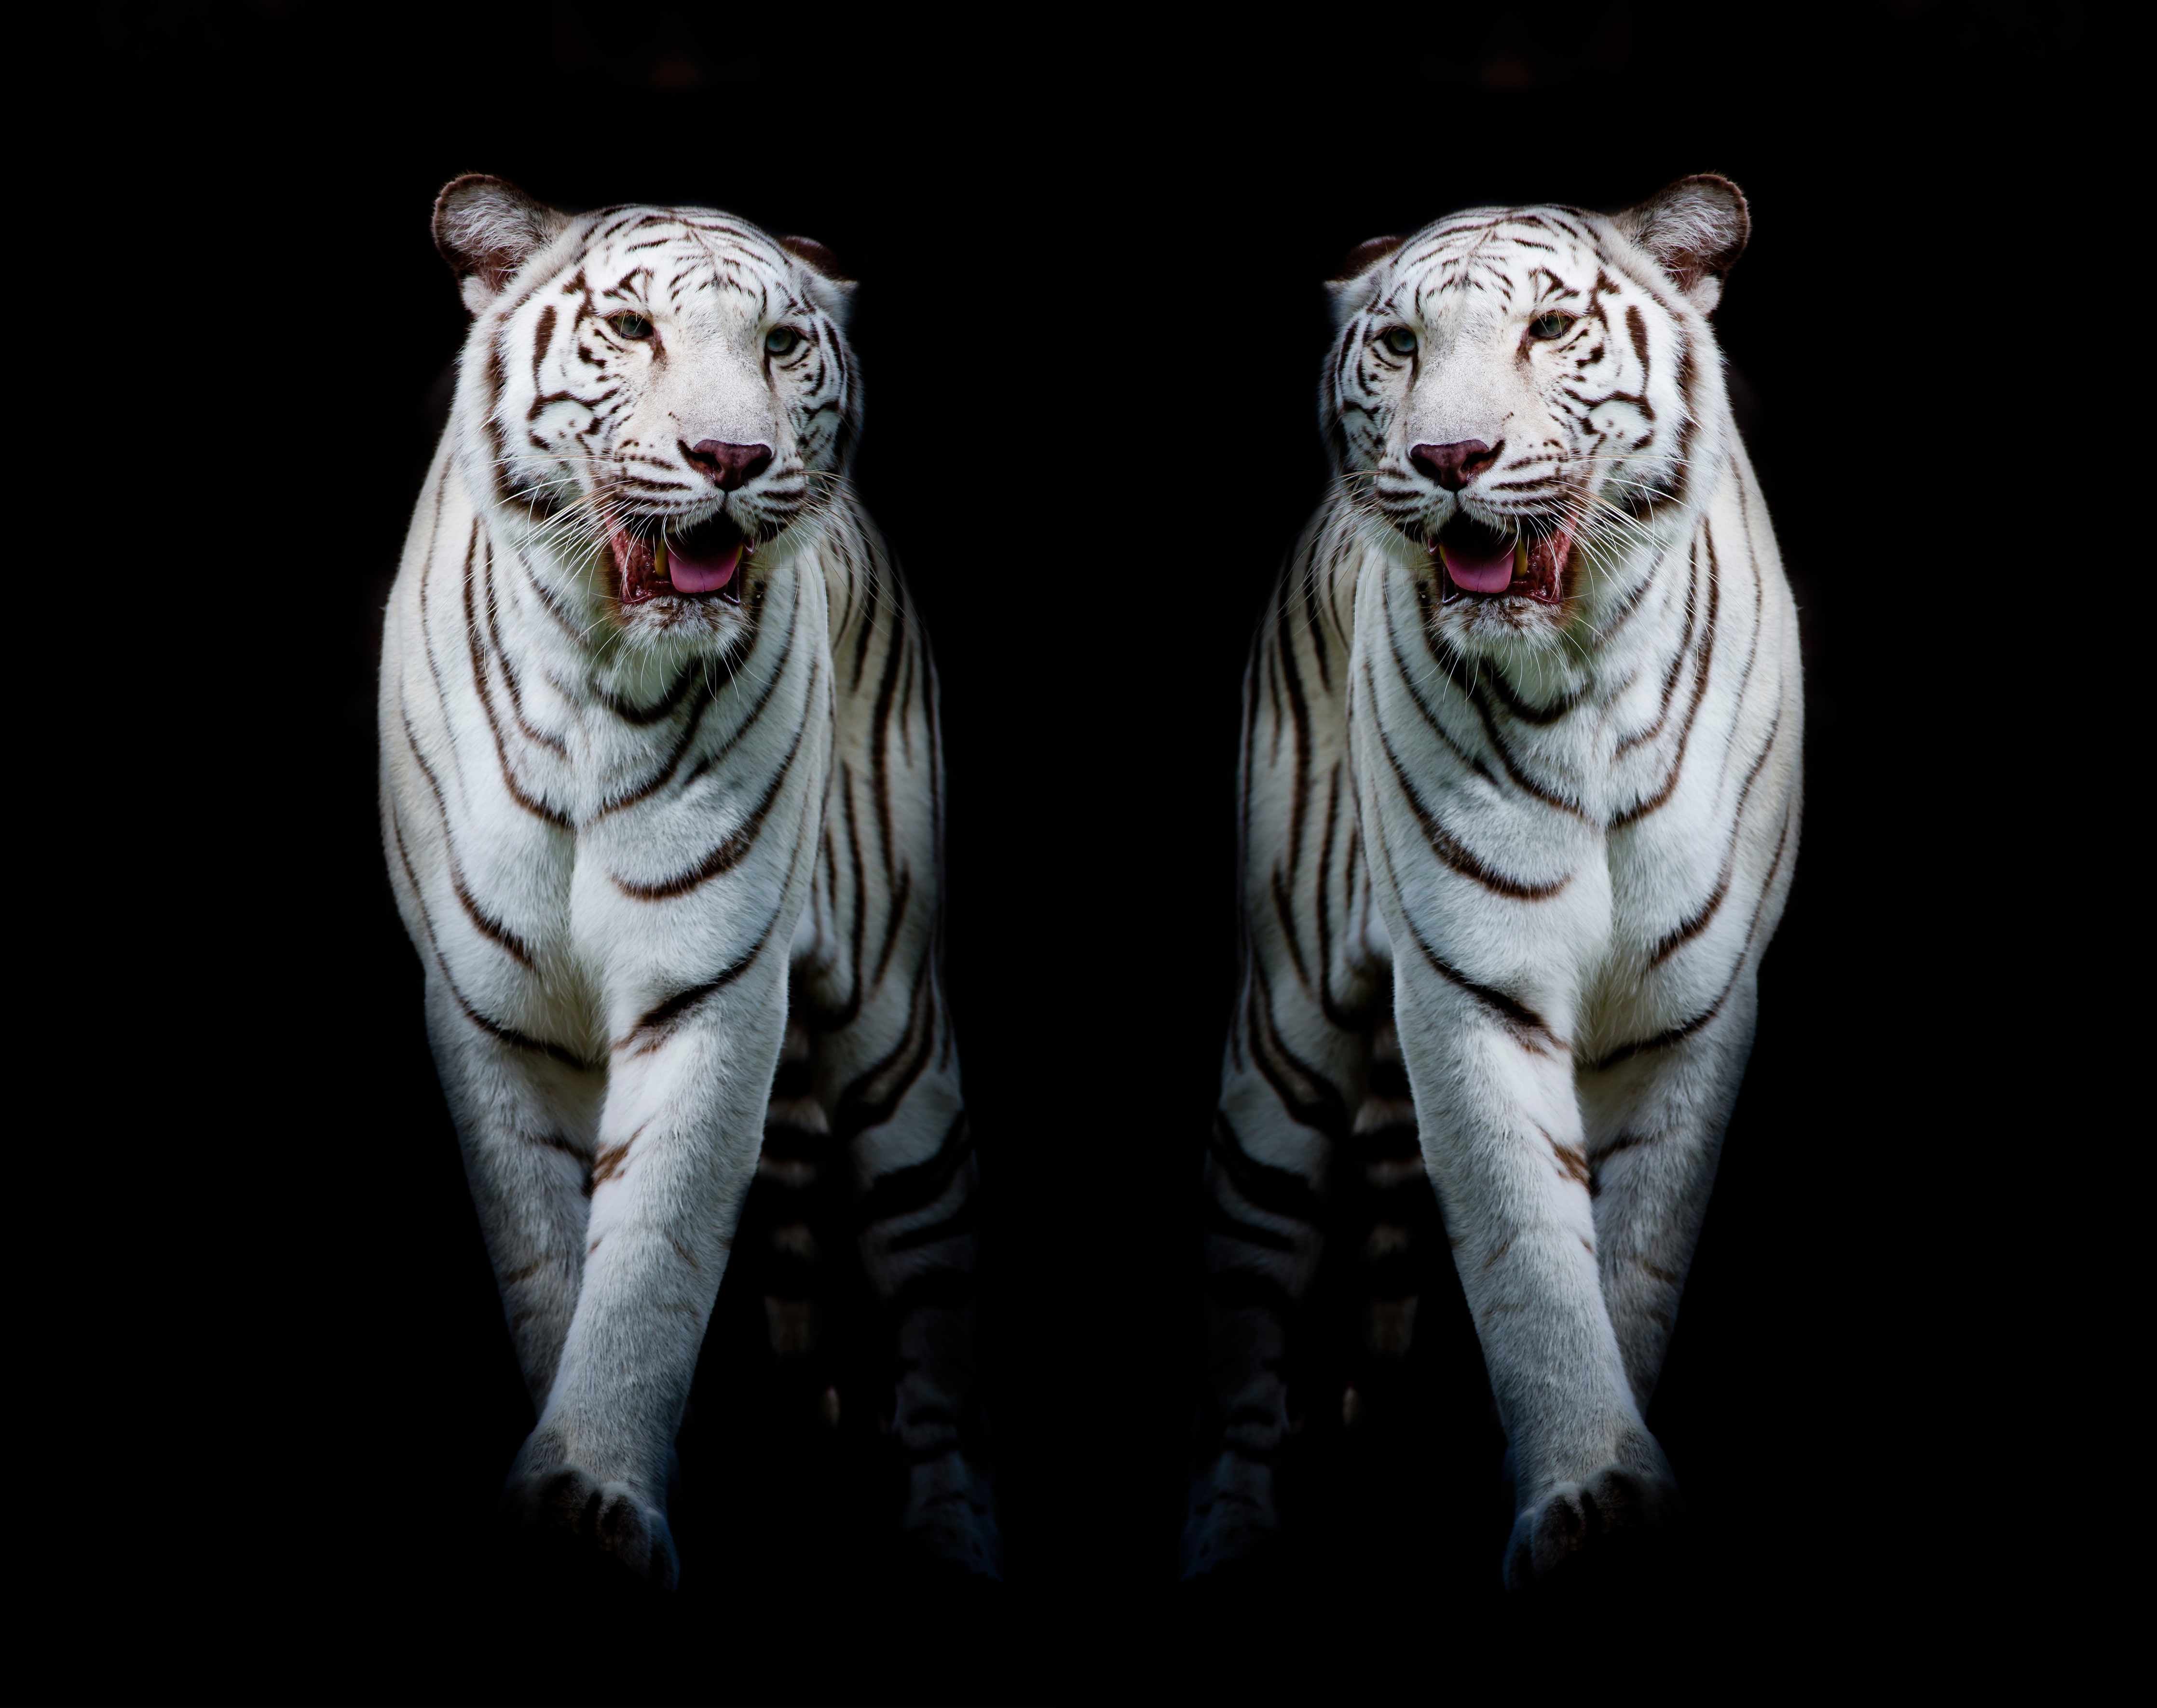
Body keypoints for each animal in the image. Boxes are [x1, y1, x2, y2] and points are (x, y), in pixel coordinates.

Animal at [378, 175, 994, 1587]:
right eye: (630, 327)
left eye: (779, 345)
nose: (730, 458)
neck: (598, 676)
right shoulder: (490, 1008)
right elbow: (548, 1259)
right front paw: (568, 1492)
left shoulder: (710, 984)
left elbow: (654, 1250)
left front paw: (595, 1490)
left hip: (896, 1033)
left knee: (933, 1292)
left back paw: (951, 1531)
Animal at [1185, 175, 1802, 1588]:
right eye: (1400, 345)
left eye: (1551, 328)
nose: (1449, 458)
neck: (1584, 679)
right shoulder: (1470, 984)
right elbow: (1527, 1253)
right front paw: (1586, 1492)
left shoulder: (1692, 1006)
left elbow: (1632, 1259)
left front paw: (1612, 1493)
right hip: (1284, 1031)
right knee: (1247, 1297)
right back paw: (1228, 1530)